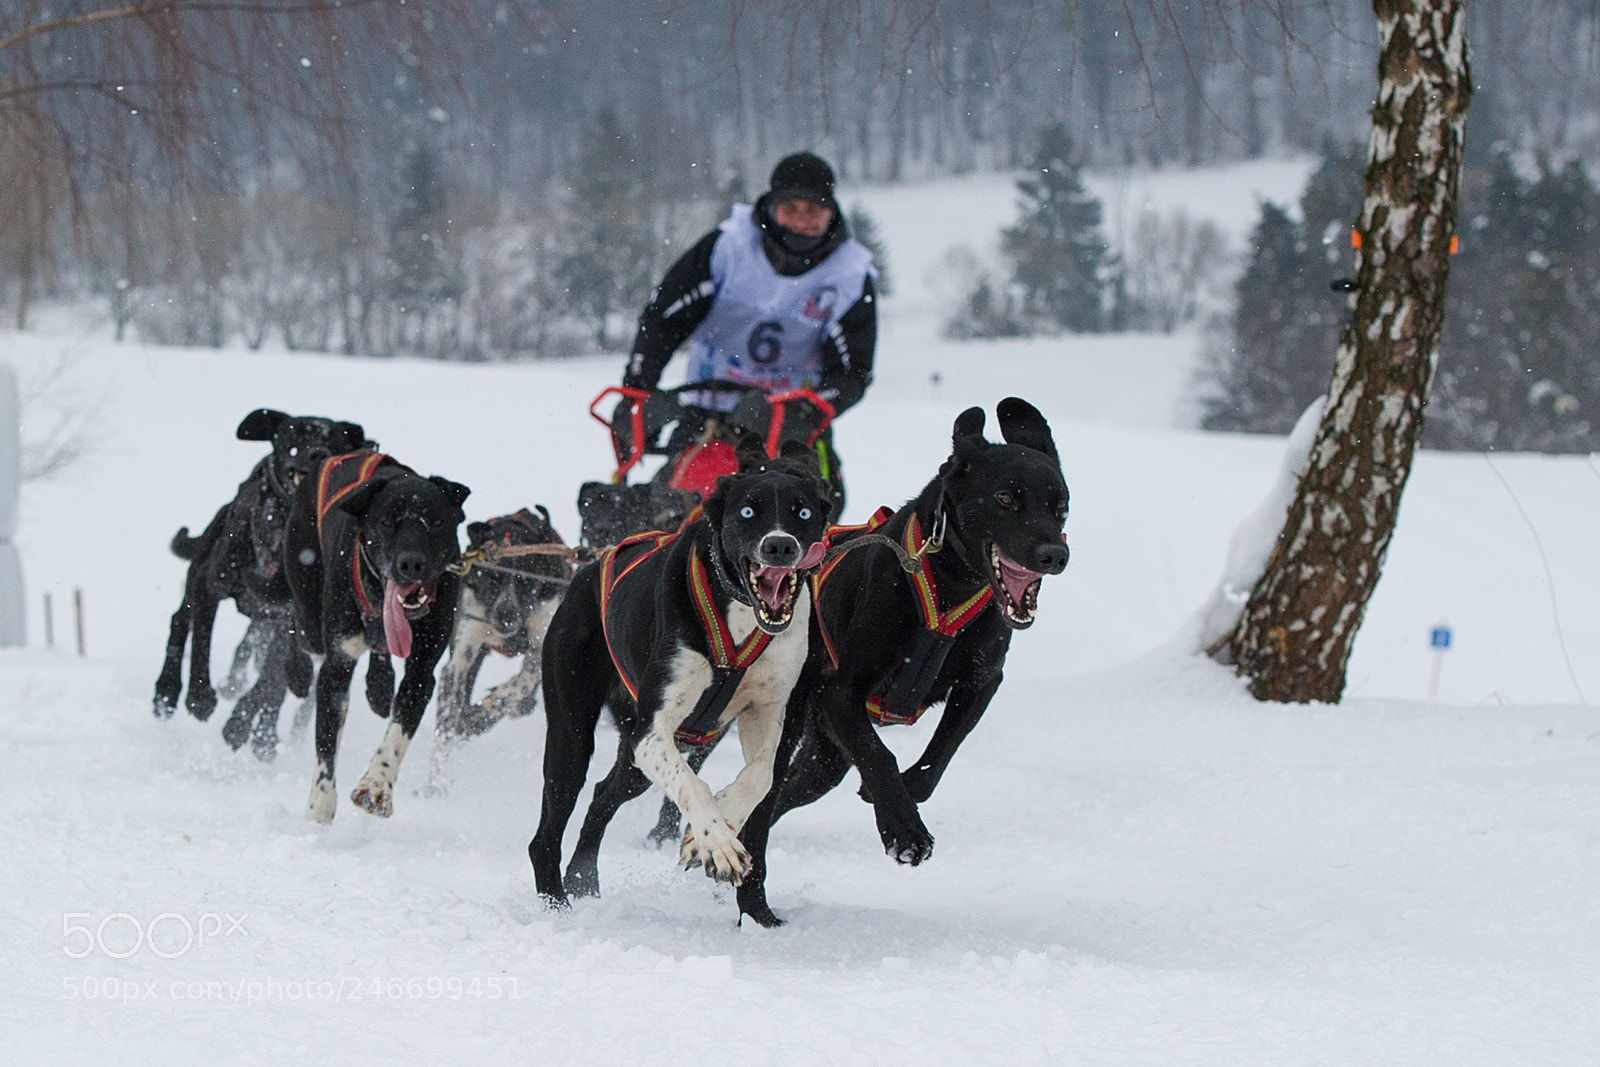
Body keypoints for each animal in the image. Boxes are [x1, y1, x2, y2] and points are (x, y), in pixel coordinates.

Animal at [153, 409, 368, 758]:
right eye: (294, 435)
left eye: (334, 439)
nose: (318, 453)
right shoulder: (211, 587)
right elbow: (201, 642)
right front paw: (199, 697)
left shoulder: (284, 622)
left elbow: (270, 680)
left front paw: (247, 728)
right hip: (199, 572)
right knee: (180, 621)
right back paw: (166, 691)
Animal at [284, 447, 467, 825]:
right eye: (385, 523)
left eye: (435, 522)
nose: (410, 563)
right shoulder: (337, 666)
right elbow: (326, 746)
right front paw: (319, 808)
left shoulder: (421, 671)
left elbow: (397, 735)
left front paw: (378, 784)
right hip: (307, 602)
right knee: (300, 634)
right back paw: (297, 670)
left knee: (380, 653)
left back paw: (380, 686)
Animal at [732, 399, 1062, 927]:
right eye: (1006, 498)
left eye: (1060, 504)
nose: (1055, 553)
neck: (950, 581)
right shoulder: (841, 693)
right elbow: (879, 756)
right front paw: (904, 831)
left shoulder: (982, 682)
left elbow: (941, 753)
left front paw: (902, 794)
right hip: (789, 730)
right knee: (763, 808)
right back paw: (754, 902)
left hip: (823, 762)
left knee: (779, 802)